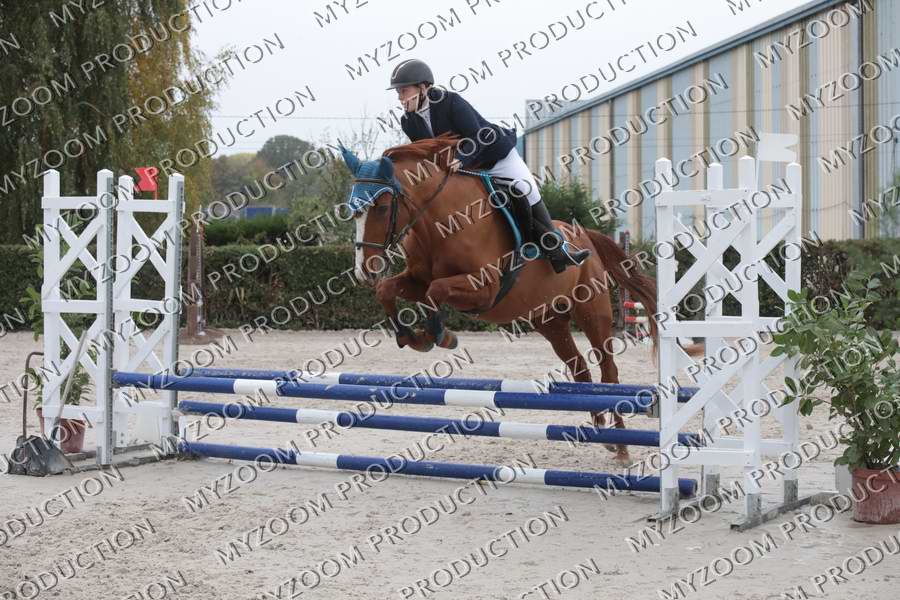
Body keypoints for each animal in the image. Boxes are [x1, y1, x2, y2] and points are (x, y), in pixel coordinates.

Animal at [340, 136, 659, 463]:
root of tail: (585, 237)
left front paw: (440, 337)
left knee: (609, 371)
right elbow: (388, 290)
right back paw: (601, 431)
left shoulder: (484, 288)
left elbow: (435, 291)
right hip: (549, 321)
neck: (440, 222)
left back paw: (621, 447)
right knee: (580, 367)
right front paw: (410, 337)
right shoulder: (416, 280)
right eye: (351, 211)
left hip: (592, 313)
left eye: (382, 207)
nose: (365, 270)